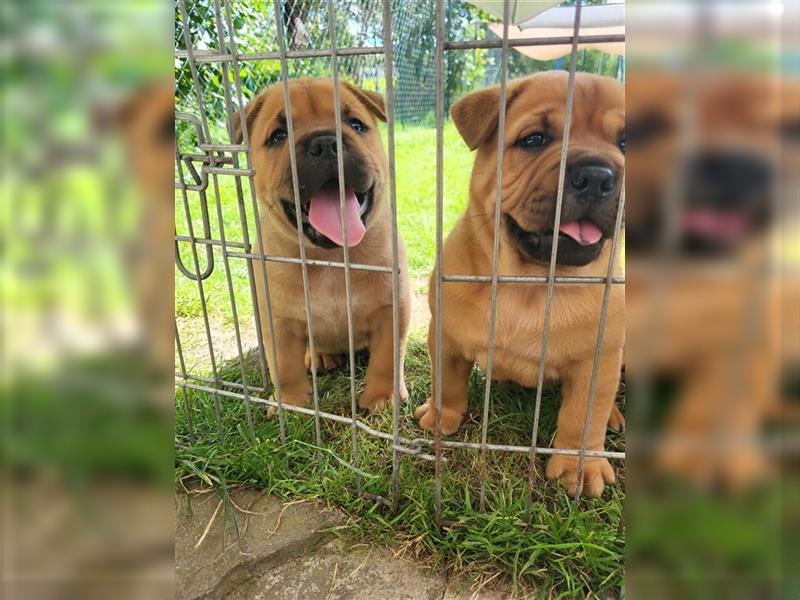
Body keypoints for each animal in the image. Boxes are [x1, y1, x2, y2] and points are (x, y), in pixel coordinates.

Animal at [236, 78, 412, 412]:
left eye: (356, 124)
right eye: (278, 136)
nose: (325, 143)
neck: (330, 258)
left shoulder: (391, 310)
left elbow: (386, 359)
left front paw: (383, 398)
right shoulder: (277, 320)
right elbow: (284, 365)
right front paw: (290, 402)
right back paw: (319, 357)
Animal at [416, 71, 628, 496]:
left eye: (627, 143)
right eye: (534, 140)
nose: (597, 176)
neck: (530, 281)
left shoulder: (598, 358)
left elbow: (584, 414)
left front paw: (579, 466)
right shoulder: (444, 335)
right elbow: (446, 380)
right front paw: (441, 416)